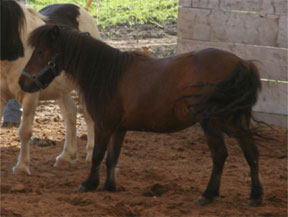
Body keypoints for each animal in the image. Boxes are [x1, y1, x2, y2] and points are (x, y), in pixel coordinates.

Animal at [0, 0, 99, 175]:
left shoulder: (30, 94)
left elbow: (25, 131)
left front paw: (22, 167)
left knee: (88, 115)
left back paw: (90, 154)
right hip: (60, 90)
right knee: (70, 113)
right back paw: (66, 157)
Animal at [18, 24, 264, 206]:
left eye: (40, 52)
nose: (23, 82)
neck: (107, 73)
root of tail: (242, 63)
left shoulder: (104, 126)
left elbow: (97, 155)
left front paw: (89, 184)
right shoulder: (119, 128)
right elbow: (112, 157)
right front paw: (110, 186)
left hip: (211, 123)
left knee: (220, 156)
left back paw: (208, 194)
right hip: (236, 121)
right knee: (251, 153)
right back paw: (255, 196)